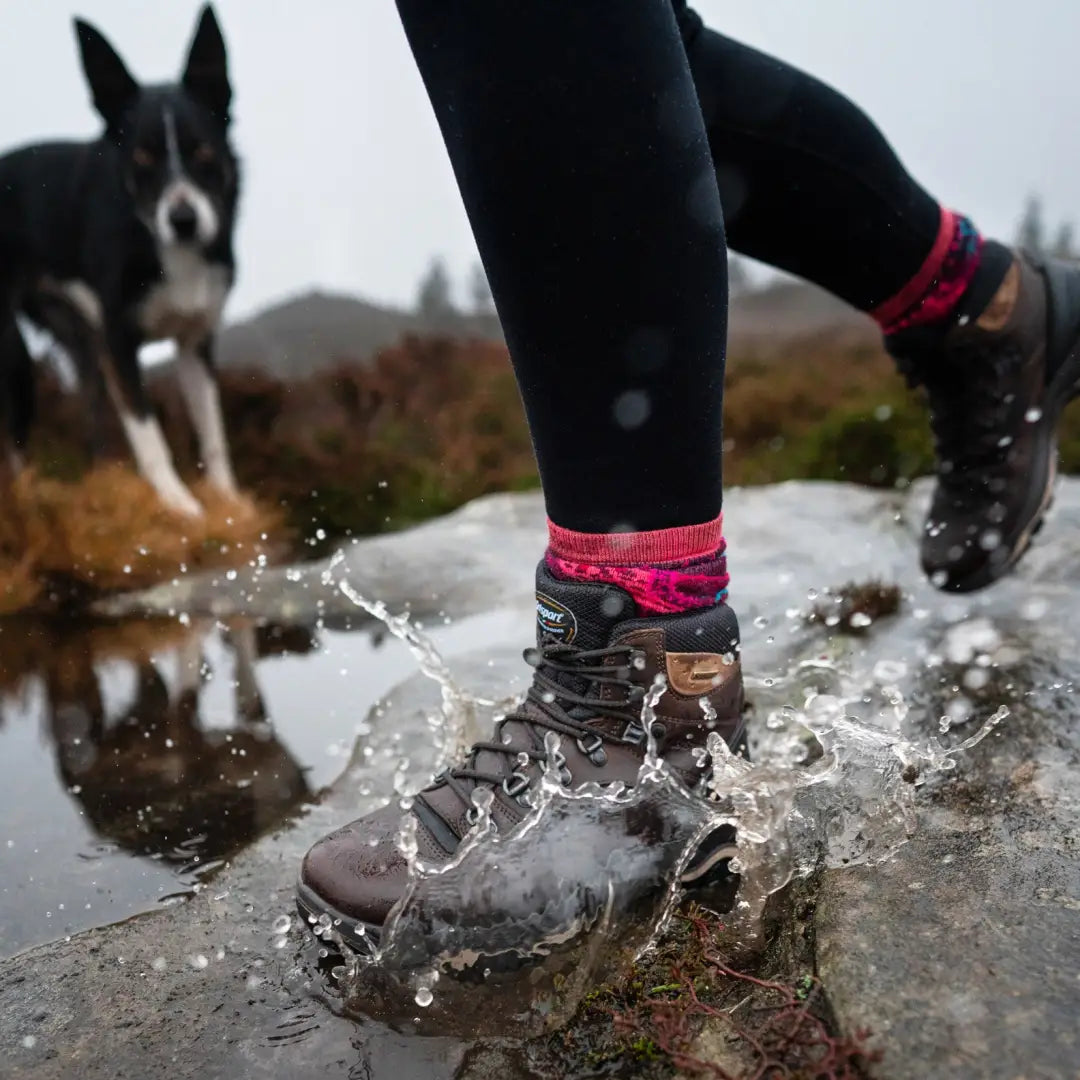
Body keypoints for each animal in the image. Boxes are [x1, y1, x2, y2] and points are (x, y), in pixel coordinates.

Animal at [0, 6, 238, 516]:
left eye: (203, 153)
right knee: (14, 450)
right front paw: (181, 506)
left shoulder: (195, 341)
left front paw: (232, 504)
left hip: (80, 346)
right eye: (143, 161)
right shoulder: (119, 344)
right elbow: (150, 435)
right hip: (15, 354)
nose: (183, 220)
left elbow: (212, 432)